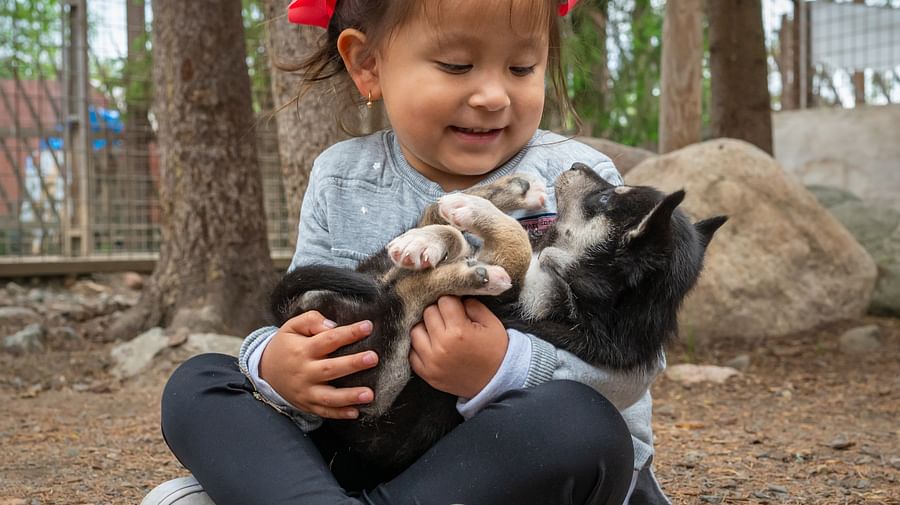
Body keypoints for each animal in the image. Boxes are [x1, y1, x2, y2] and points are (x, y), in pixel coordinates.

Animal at [270, 163, 728, 482]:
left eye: (604, 202)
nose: (577, 164)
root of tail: (295, 308)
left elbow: (516, 249)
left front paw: (478, 241)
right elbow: (498, 242)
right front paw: (442, 234)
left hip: (374, 385)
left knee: (405, 295)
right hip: (371, 294)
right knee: (421, 235)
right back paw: (492, 198)